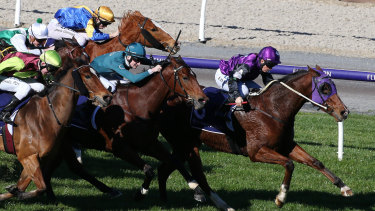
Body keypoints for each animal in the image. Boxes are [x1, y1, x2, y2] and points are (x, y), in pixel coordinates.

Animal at [0, 40, 112, 201]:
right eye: (87, 76)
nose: (107, 96)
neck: (46, 115)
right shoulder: (27, 156)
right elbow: (40, 186)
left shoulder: (37, 157)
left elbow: (27, 186)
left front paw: (15, 192)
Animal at [54, 55, 209, 202]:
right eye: (185, 77)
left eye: (195, 75)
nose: (203, 99)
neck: (137, 105)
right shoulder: (119, 148)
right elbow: (149, 170)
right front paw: (141, 193)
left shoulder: (149, 144)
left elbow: (175, 161)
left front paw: (197, 190)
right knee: (74, 167)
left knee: (74, 167)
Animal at [157, 66, 354, 209]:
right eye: (325, 88)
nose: (344, 112)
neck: (273, 109)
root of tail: (167, 100)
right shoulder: (256, 151)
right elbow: (289, 164)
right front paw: (281, 197)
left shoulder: (286, 145)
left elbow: (315, 161)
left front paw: (344, 187)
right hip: (183, 143)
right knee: (185, 169)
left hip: (186, 144)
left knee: (166, 168)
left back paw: (166, 199)